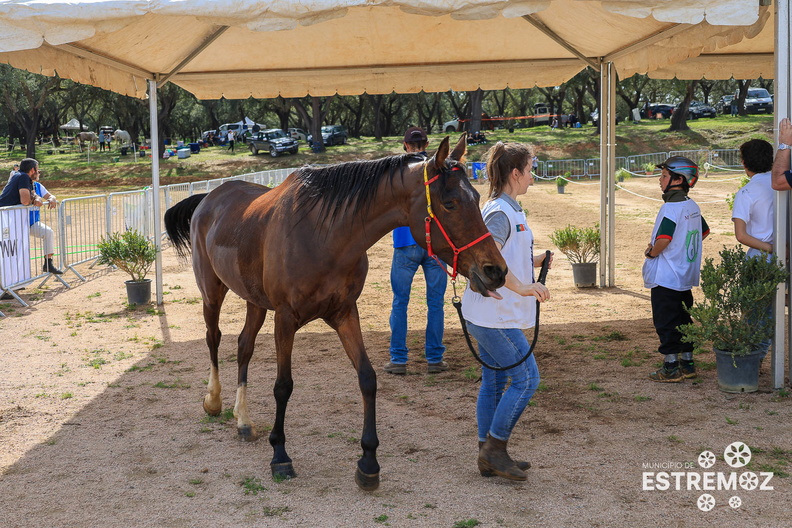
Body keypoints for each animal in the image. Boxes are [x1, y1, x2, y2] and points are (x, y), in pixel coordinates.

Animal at [164, 134, 508, 488]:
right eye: (450, 203)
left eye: (477, 197)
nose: (495, 271)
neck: (323, 235)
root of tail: (209, 198)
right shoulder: (284, 319)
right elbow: (283, 386)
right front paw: (280, 455)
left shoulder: (345, 314)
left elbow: (367, 378)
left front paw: (368, 462)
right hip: (212, 293)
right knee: (214, 338)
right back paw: (213, 400)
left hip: (254, 301)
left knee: (244, 346)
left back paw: (243, 420)